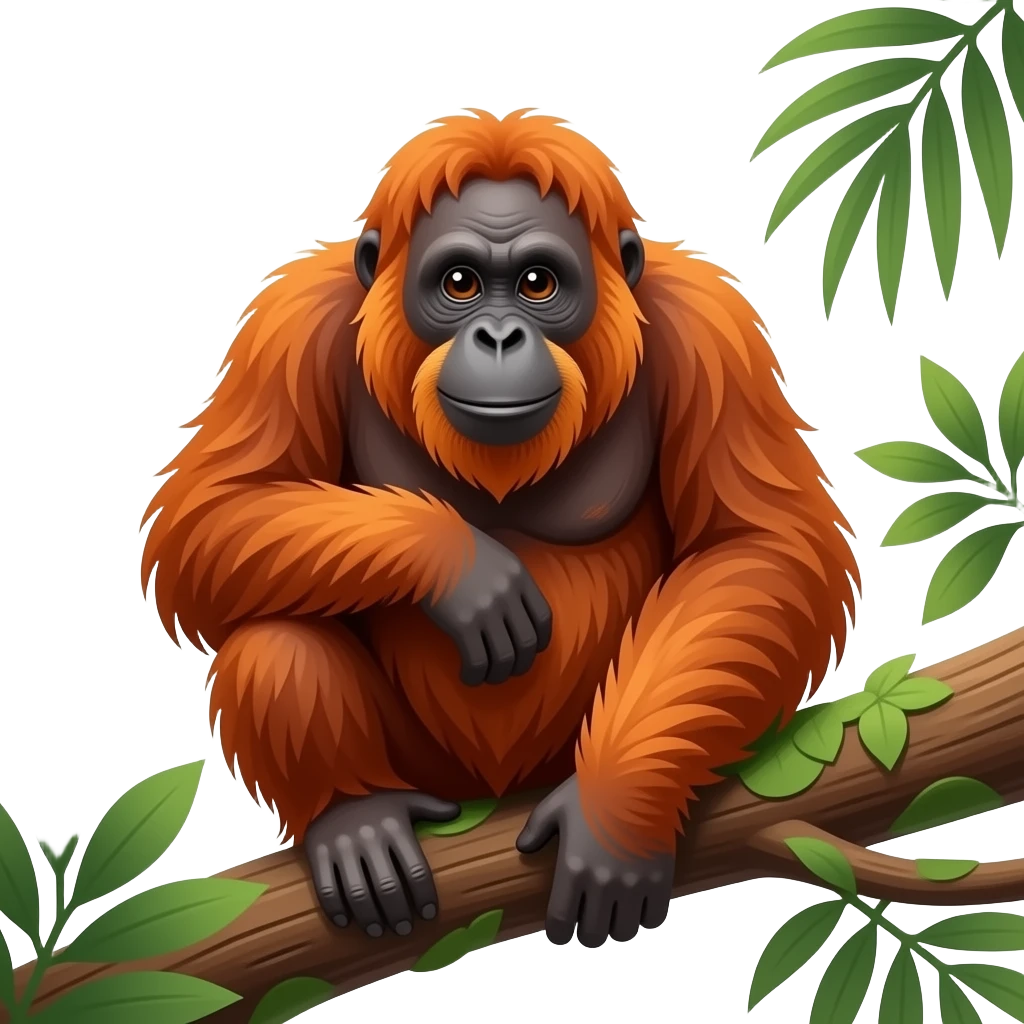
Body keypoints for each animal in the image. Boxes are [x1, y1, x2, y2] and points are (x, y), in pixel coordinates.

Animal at [139, 108, 861, 950]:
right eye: (459, 283)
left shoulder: (711, 333)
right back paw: (356, 816)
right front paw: (462, 569)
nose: (498, 337)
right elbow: (212, 512)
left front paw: (614, 813)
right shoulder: (293, 327)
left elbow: (758, 547)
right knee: (273, 636)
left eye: (538, 283)